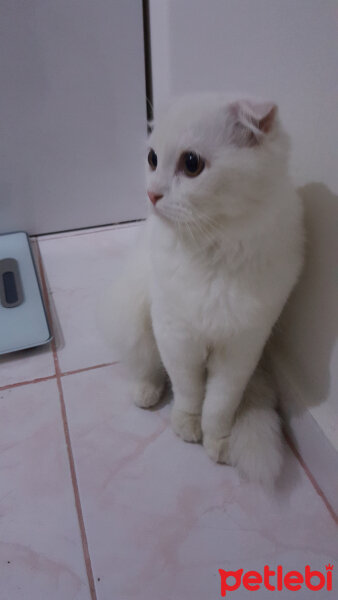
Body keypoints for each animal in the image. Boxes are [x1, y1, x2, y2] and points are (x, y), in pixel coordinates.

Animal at [100, 95, 304, 488]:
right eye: (153, 159)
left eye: (191, 164)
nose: (151, 194)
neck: (216, 251)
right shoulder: (177, 337)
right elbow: (189, 391)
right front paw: (186, 428)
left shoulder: (241, 348)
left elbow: (219, 405)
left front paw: (217, 442)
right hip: (133, 315)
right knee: (146, 365)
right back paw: (146, 393)